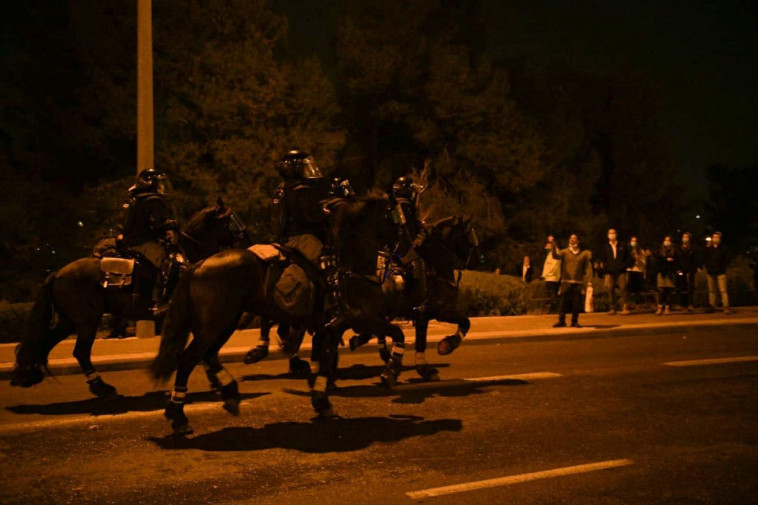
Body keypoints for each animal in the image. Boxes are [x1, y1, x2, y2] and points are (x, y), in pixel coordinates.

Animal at [11, 200, 249, 394]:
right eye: (231, 219)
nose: (245, 238)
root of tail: (58, 273)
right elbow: (203, 348)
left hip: (69, 322)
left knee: (45, 343)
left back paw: (28, 374)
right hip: (87, 321)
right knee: (81, 352)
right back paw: (100, 387)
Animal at [151, 194, 406, 434]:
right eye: (395, 217)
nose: (405, 250)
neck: (348, 263)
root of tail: (198, 266)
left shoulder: (331, 328)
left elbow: (324, 361)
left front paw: (321, 400)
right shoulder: (361, 318)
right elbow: (397, 333)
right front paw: (390, 373)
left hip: (223, 324)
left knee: (209, 355)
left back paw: (229, 394)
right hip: (213, 326)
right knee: (187, 359)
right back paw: (179, 417)